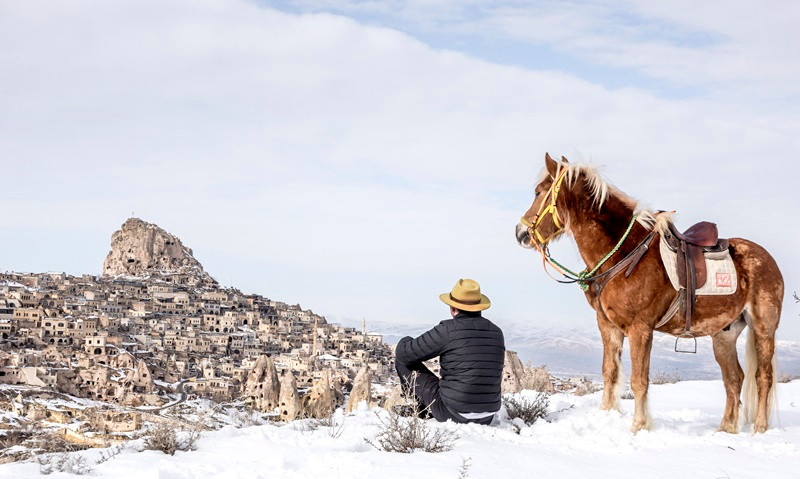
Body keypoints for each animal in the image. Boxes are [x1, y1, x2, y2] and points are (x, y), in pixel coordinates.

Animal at [516, 155, 784, 436]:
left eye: (538, 192)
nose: (520, 233)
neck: (624, 252)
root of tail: (767, 259)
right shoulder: (608, 326)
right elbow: (609, 373)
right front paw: (607, 414)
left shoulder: (640, 329)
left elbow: (639, 380)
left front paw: (639, 426)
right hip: (724, 335)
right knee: (734, 378)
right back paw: (726, 429)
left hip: (763, 329)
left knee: (763, 377)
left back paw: (760, 428)